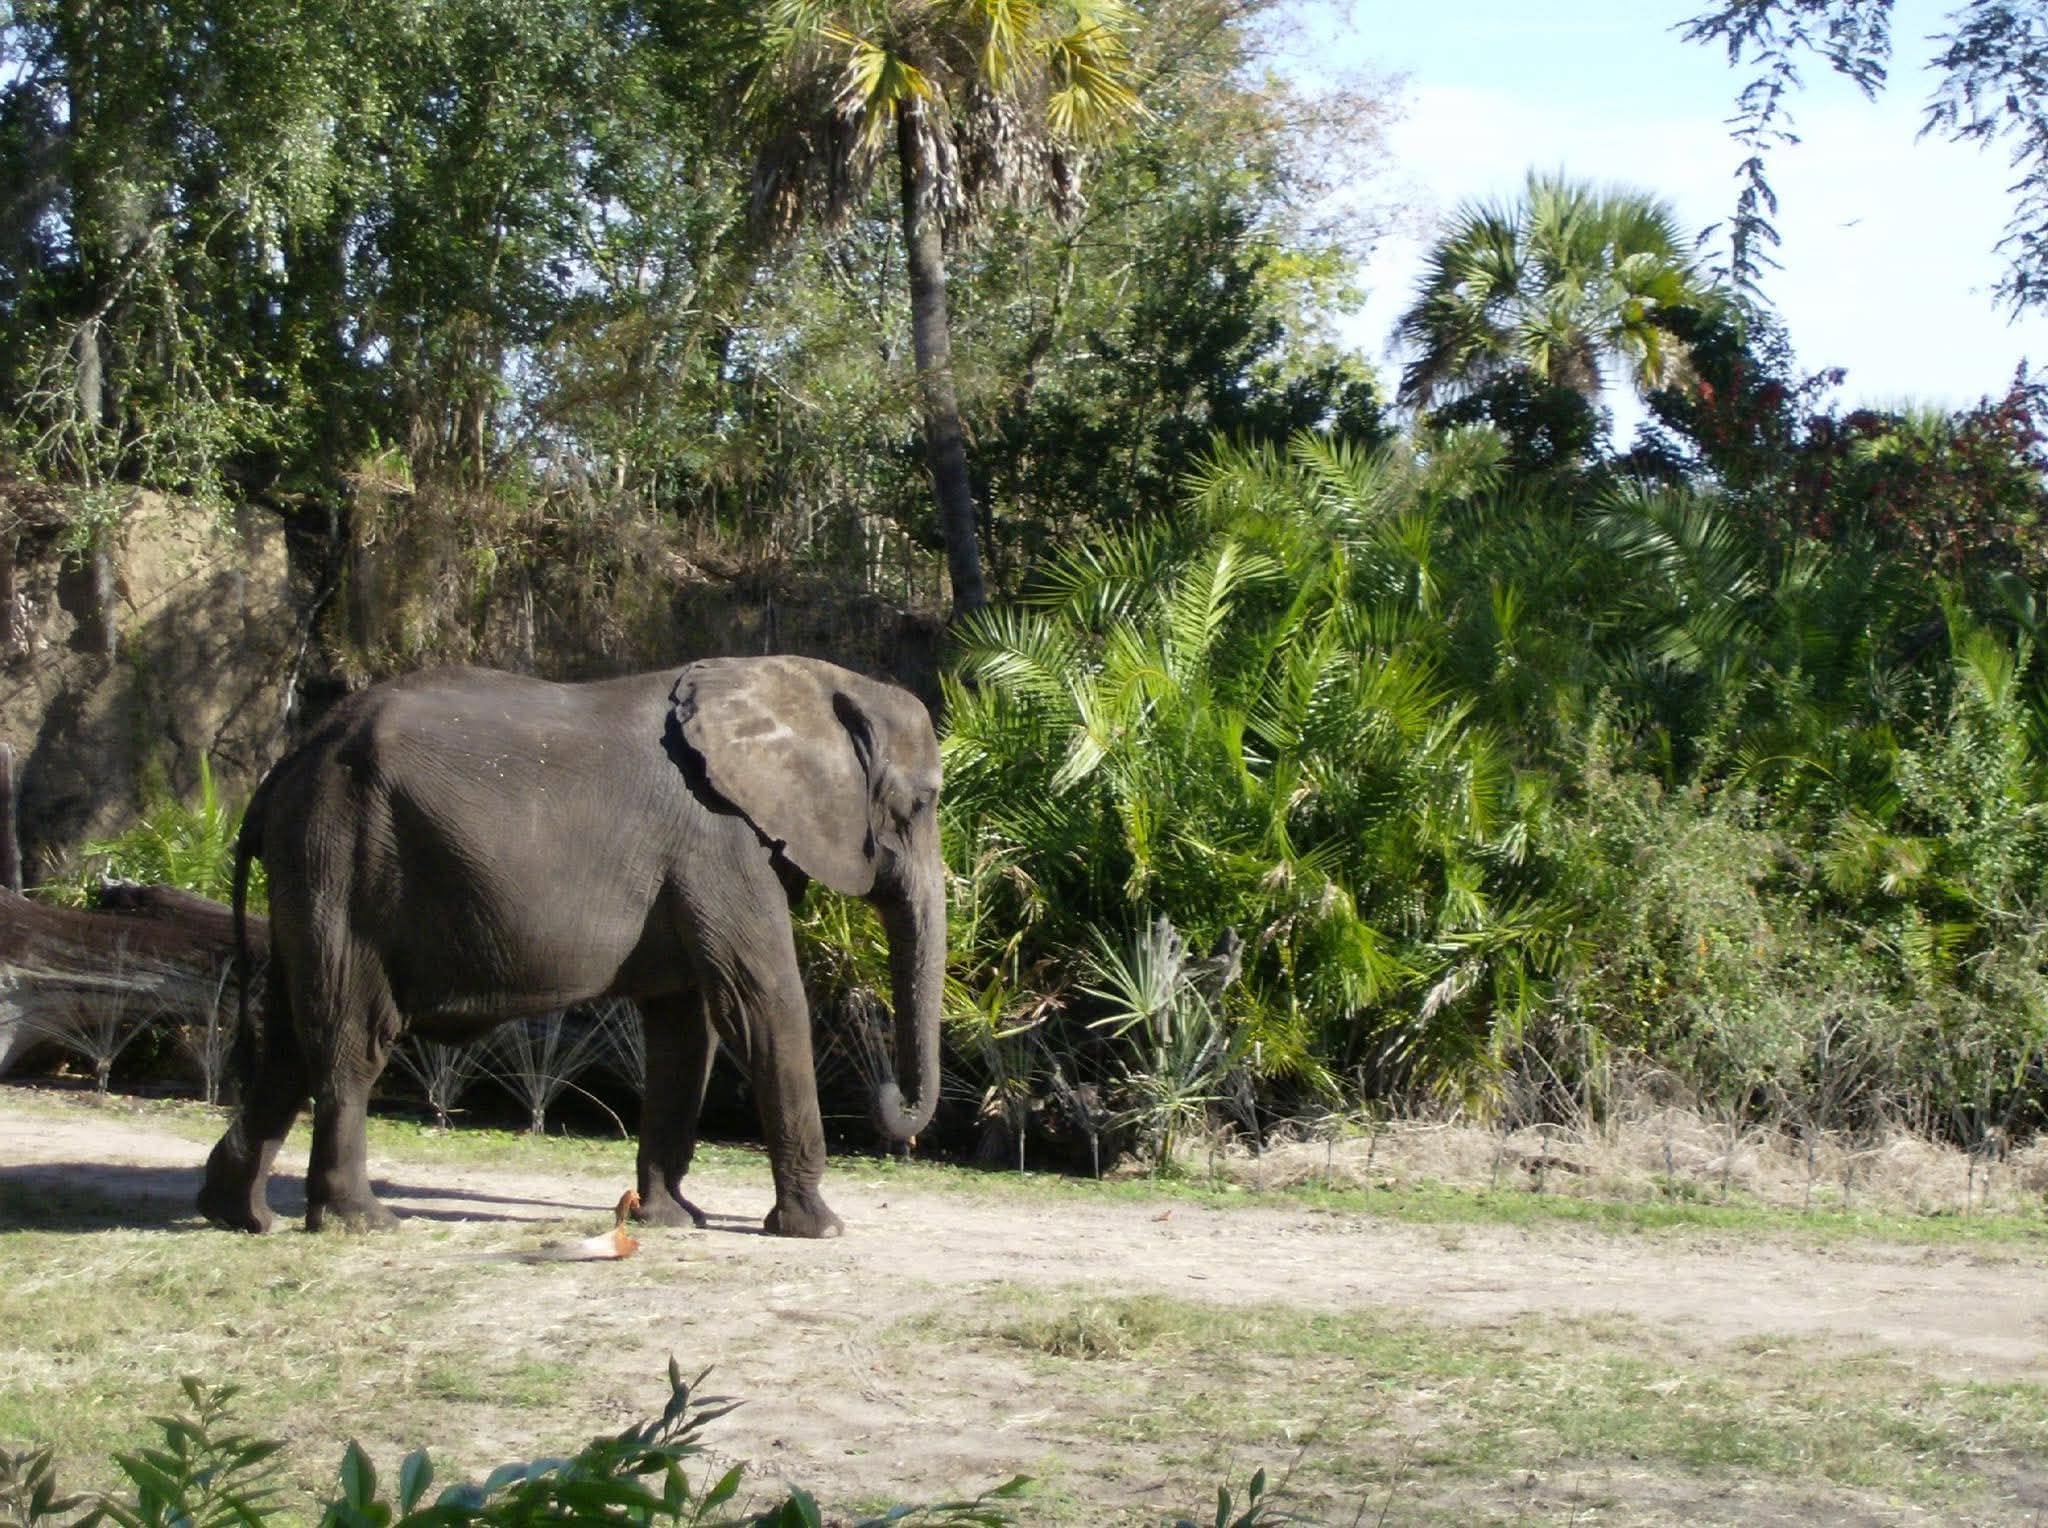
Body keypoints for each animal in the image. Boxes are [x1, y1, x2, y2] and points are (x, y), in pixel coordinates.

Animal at [195, 655, 944, 1238]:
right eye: (923, 804)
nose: (887, 1097)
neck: (809, 682)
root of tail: (282, 770)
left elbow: (684, 1027)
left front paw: (672, 1221)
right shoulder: (720, 843)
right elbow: (760, 1001)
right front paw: (821, 1228)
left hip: (314, 863)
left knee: (290, 1038)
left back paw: (240, 1216)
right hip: (341, 852)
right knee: (350, 1035)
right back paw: (364, 1222)